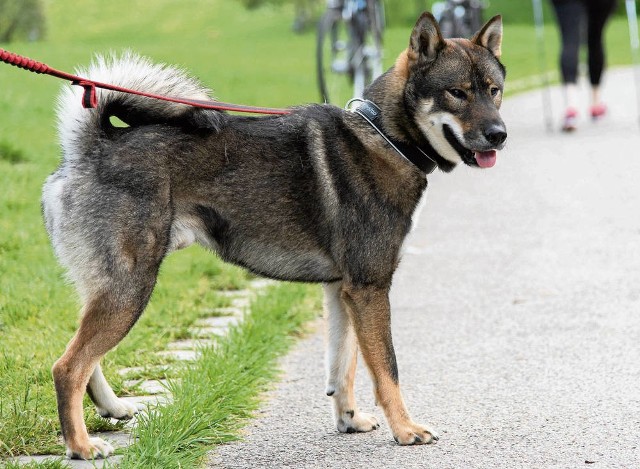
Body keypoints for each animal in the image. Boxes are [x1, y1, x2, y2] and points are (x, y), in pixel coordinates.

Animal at [42, 12, 508, 458]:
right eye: (457, 93)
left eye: (494, 90)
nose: (499, 135)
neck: (385, 137)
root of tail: (90, 147)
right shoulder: (370, 288)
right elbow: (386, 369)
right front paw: (406, 429)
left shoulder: (343, 290)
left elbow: (343, 365)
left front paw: (349, 420)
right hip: (130, 287)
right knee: (68, 366)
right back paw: (81, 446)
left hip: (107, 287)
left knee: (84, 356)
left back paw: (110, 407)